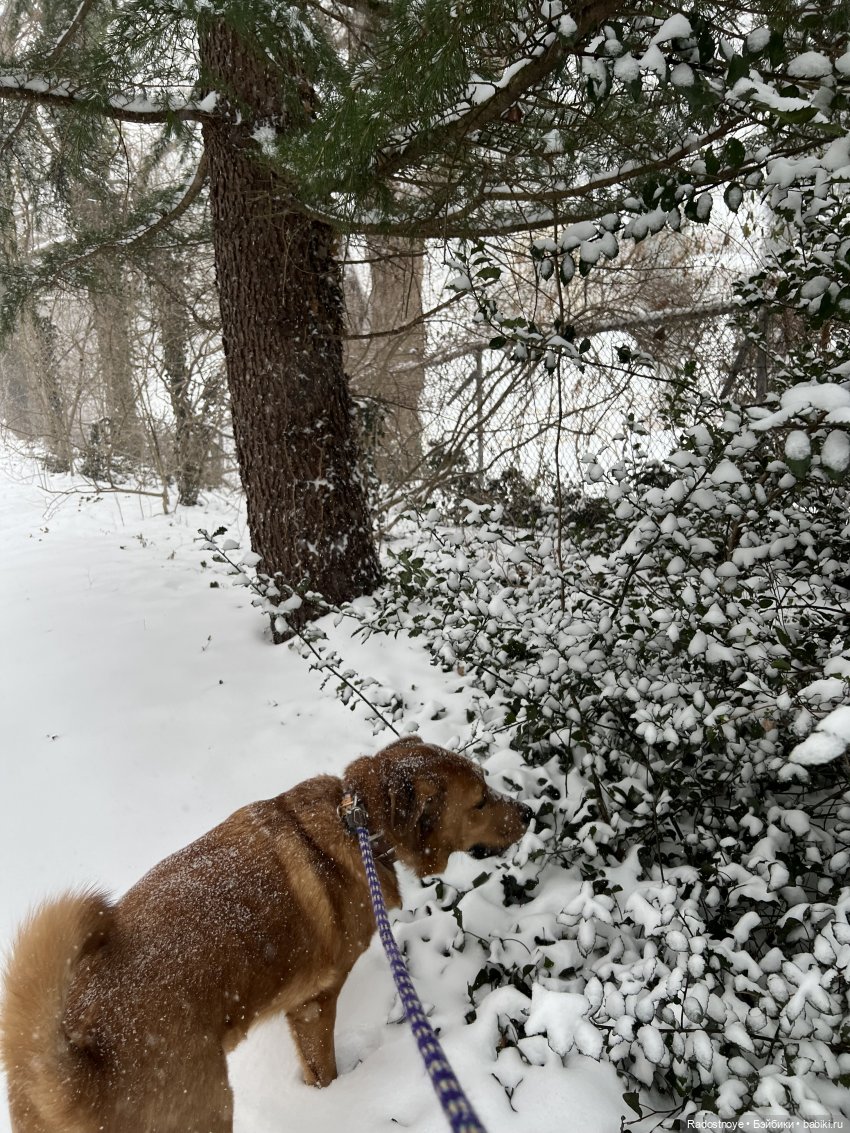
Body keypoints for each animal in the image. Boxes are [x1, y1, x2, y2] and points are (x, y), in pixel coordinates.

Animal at [1, 737, 531, 1133]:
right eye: (480, 801)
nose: (529, 812)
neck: (357, 822)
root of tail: (77, 1063)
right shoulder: (316, 1002)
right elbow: (323, 1069)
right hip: (211, 1107)